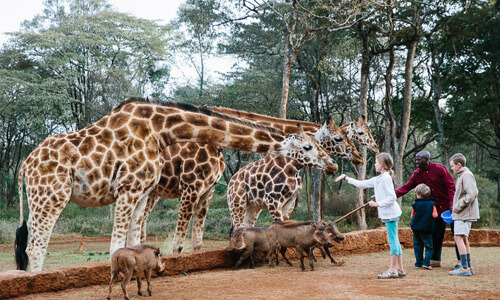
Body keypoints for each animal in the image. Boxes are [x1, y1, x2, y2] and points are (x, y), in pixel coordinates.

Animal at [15, 98, 338, 272]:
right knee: (35, 247)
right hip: (51, 196)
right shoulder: (130, 190)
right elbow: (118, 246)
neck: (160, 130)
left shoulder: (143, 193)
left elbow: (136, 243)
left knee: (30, 246)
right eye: (308, 147)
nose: (333, 165)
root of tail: (23, 167)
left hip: (40, 198)